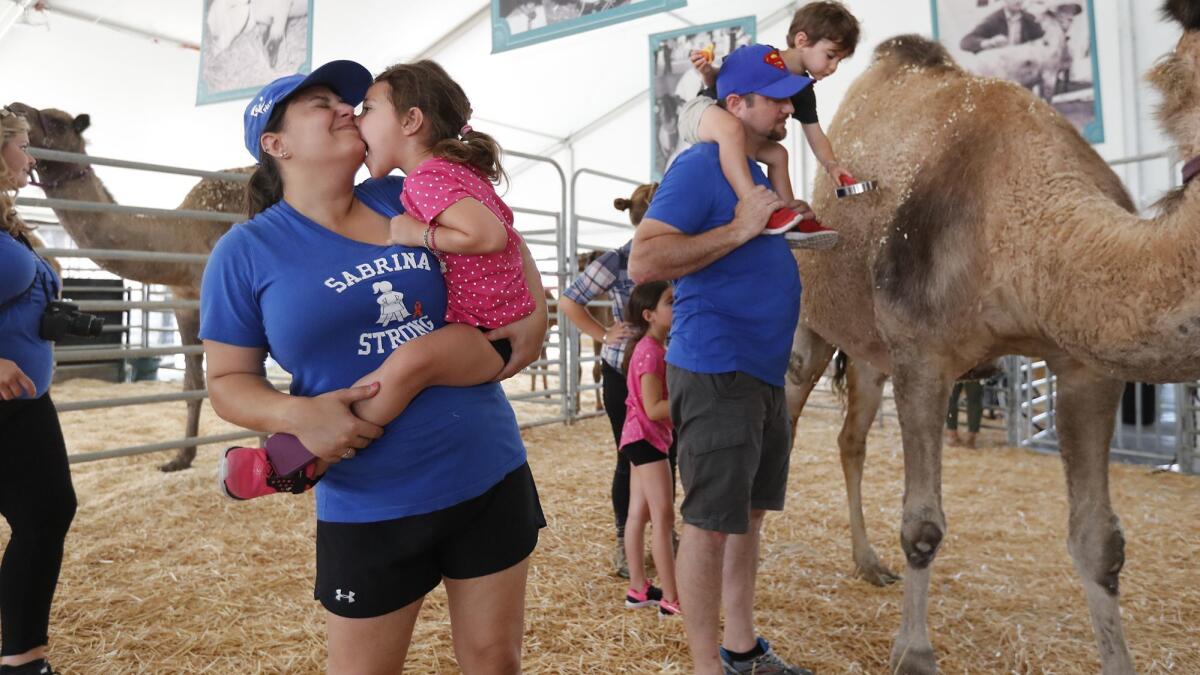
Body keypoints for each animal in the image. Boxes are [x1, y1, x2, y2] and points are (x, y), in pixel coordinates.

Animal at [9, 102, 250, 470]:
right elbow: (193, 382)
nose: (13, 107)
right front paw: (180, 458)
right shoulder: (184, 301)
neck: (185, 234)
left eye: (56, 121)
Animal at [782, 2, 1200, 667]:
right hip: (810, 327)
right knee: (787, 416)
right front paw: (914, 654)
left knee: (851, 438)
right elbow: (922, 525)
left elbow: (1099, 541)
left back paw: (867, 562)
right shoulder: (923, 357)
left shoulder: (1086, 366)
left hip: (869, 353)